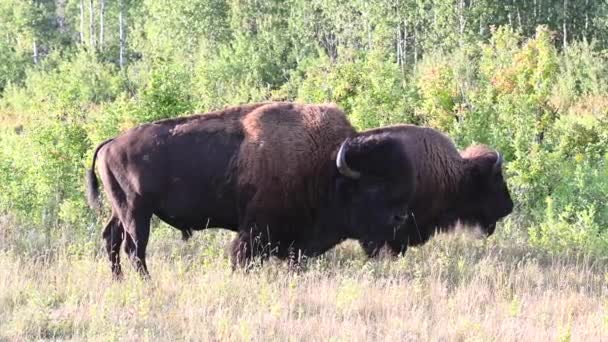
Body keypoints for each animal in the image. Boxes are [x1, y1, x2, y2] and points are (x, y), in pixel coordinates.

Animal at [86, 101, 418, 278]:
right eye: (372, 188)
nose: (401, 218)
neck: (326, 169)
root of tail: (111, 143)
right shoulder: (257, 229)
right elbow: (242, 256)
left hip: (121, 210)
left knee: (112, 239)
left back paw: (119, 281)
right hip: (136, 211)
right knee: (134, 248)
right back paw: (147, 283)